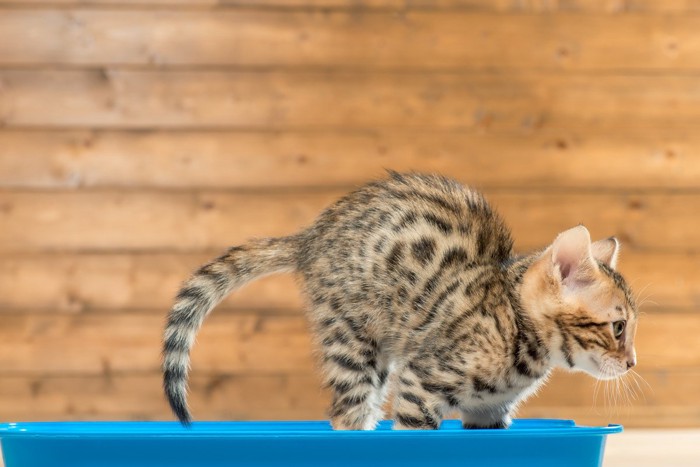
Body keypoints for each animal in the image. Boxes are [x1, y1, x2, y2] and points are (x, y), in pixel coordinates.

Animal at [161, 172, 636, 432]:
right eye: (618, 327)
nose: (632, 363)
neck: (517, 330)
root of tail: (313, 235)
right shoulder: (419, 386)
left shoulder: (489, 415)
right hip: (354, 343)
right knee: (347, 415)